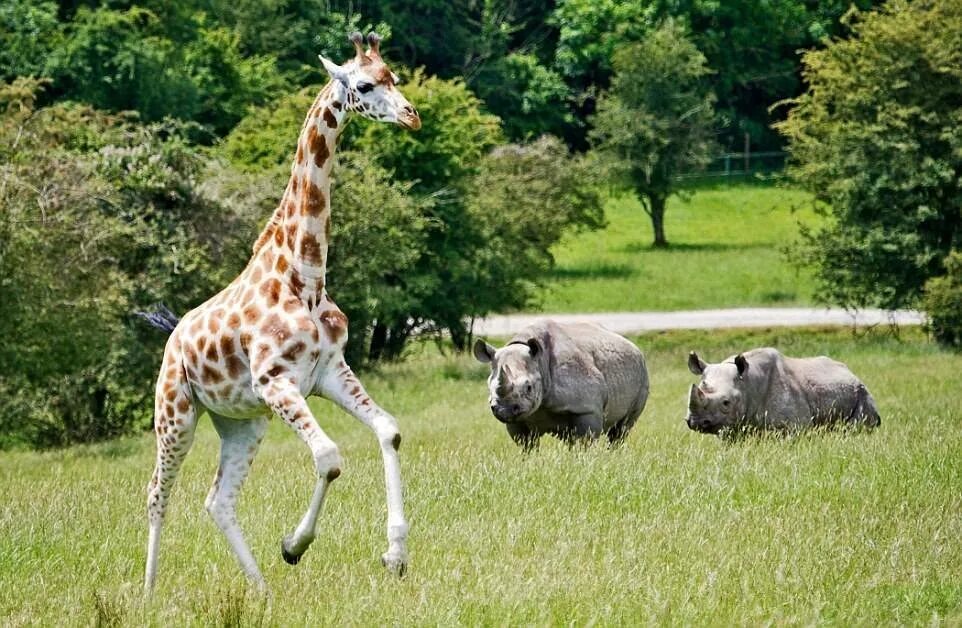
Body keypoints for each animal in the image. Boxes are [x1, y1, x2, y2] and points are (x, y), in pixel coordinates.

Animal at [145, 33, 420, 592]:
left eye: (395, 78)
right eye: (364, 85)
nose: (412, 117)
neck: (306, 275)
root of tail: (172, 335)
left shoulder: (328, 371)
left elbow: (388, 430)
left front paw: (395, 554)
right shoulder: (276, 380)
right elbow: (330, 458)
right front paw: (295, 546)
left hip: (243, 422)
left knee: (217, 500)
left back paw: (262, 591)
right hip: (176, 411)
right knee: (158, 494)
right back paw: (146, 594)